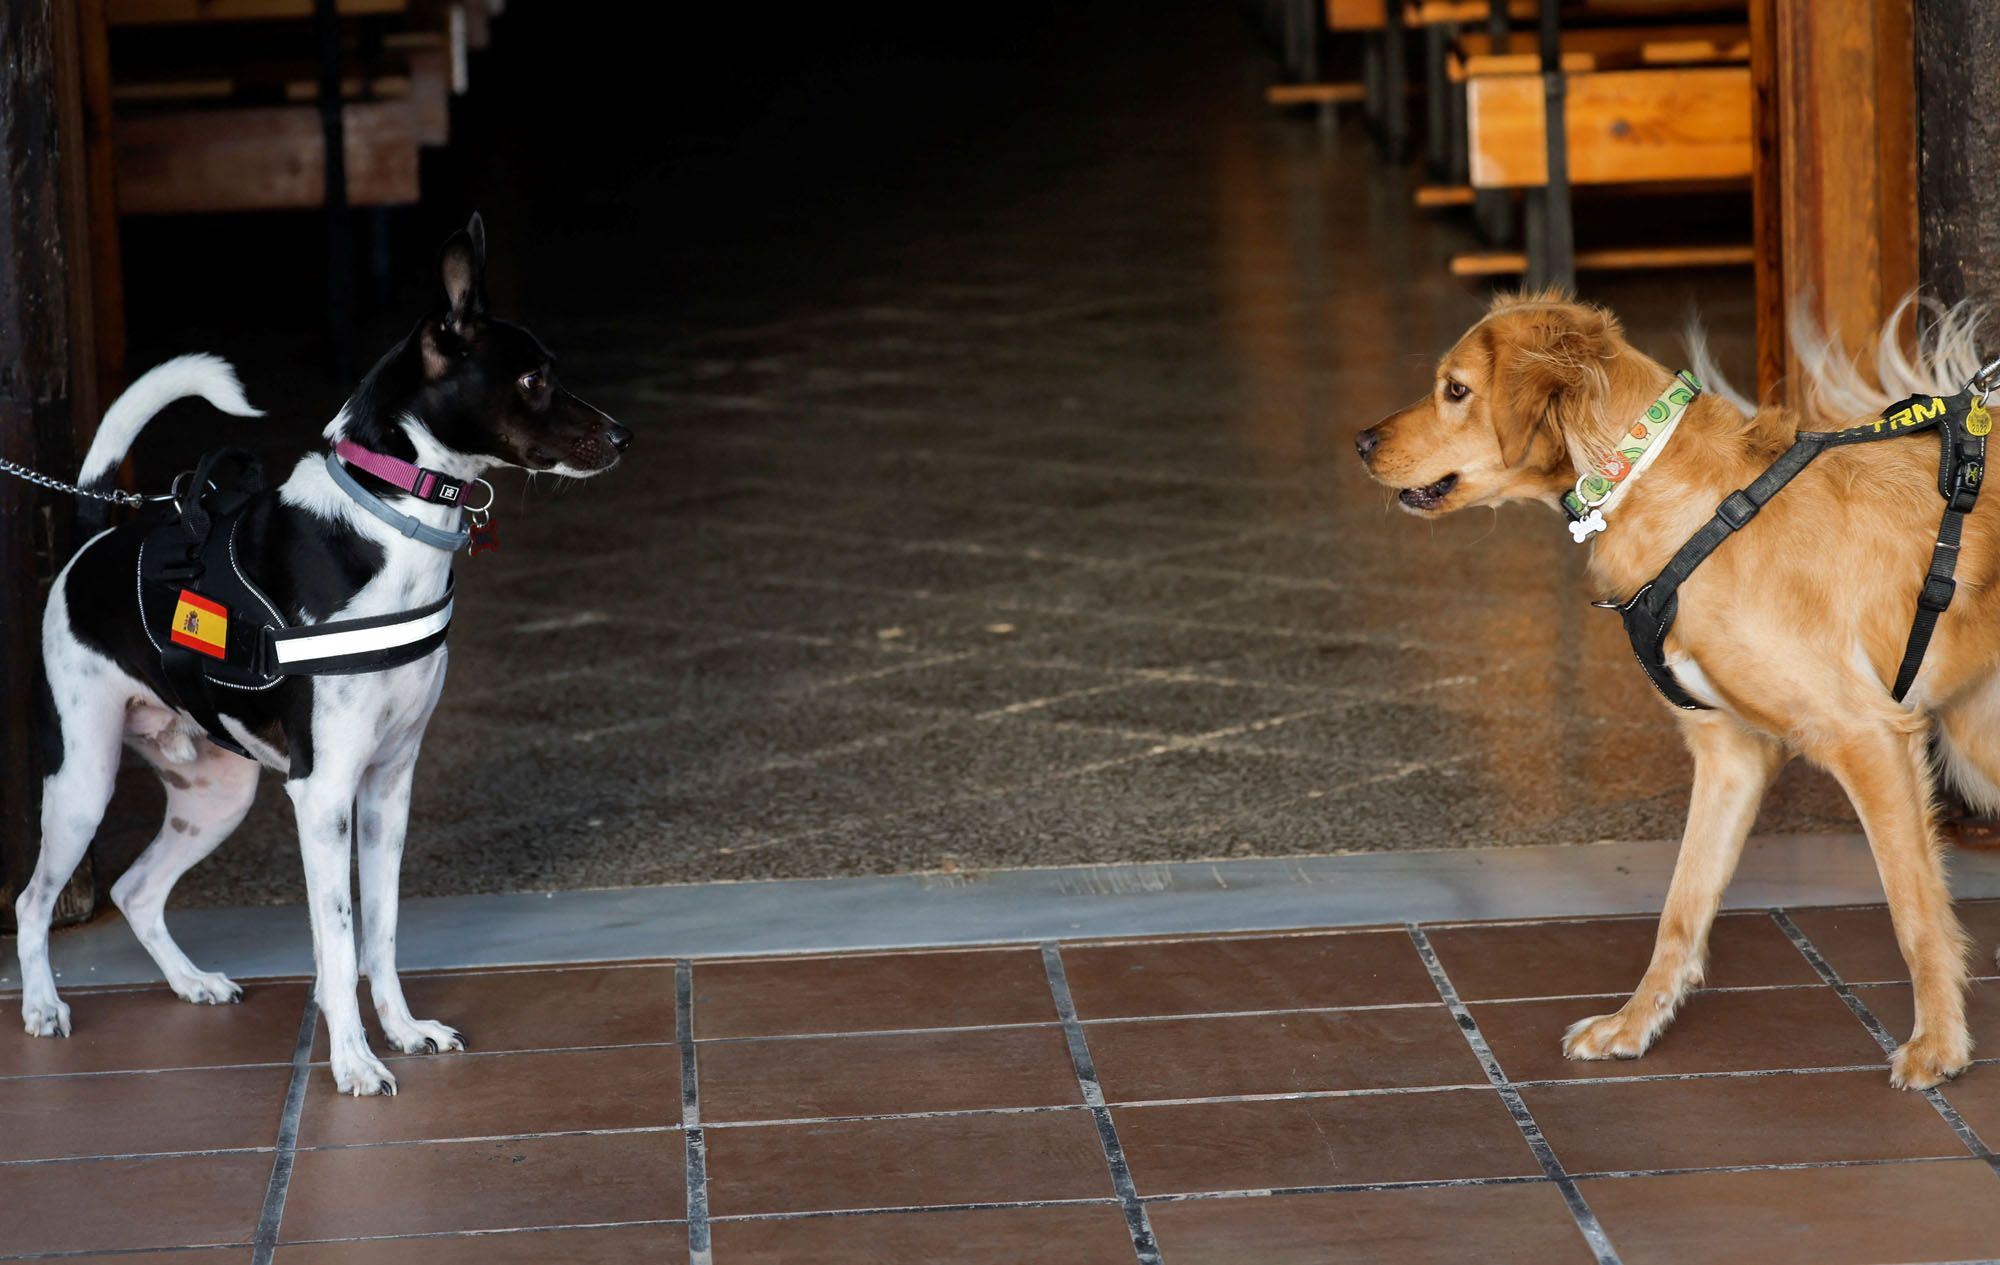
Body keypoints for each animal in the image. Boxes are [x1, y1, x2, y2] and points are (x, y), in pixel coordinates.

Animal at [15, 212, 624, 1088]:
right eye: (535, 378)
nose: (622, 436)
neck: (388, 521)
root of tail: (95, 535)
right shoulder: (324, 792)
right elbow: (337, 943)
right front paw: (353, 1061)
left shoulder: (388, 788)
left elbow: (382, 931)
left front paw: (402, 1029)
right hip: (82, 781)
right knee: (35, 900)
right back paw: (41, 1004)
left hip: (218, 793)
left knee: (134, 888)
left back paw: (192, 982)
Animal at [1360, 294, 2000, 1088]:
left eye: (1455, 390)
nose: (1360, 441)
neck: (1665, 487)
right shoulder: (1731, 754)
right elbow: (1681, 907)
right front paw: (1633, 1025)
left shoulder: (1869, 736)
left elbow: (1915, 909)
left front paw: (1939, 1044)